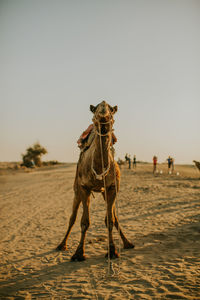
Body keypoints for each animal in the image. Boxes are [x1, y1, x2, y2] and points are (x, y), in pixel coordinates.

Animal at [56, 100, 134, 260]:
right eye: (95, 108)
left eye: (111, 109)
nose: (103, 107)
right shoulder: (84, 188)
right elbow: (84, 222)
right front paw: (78, 253)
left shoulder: (112, 188)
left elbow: (110, 220)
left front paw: (112, 251)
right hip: (76, 191)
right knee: (72, 218)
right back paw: (62, 245)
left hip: (104, 192)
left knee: (114, 217)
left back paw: (127, 243)